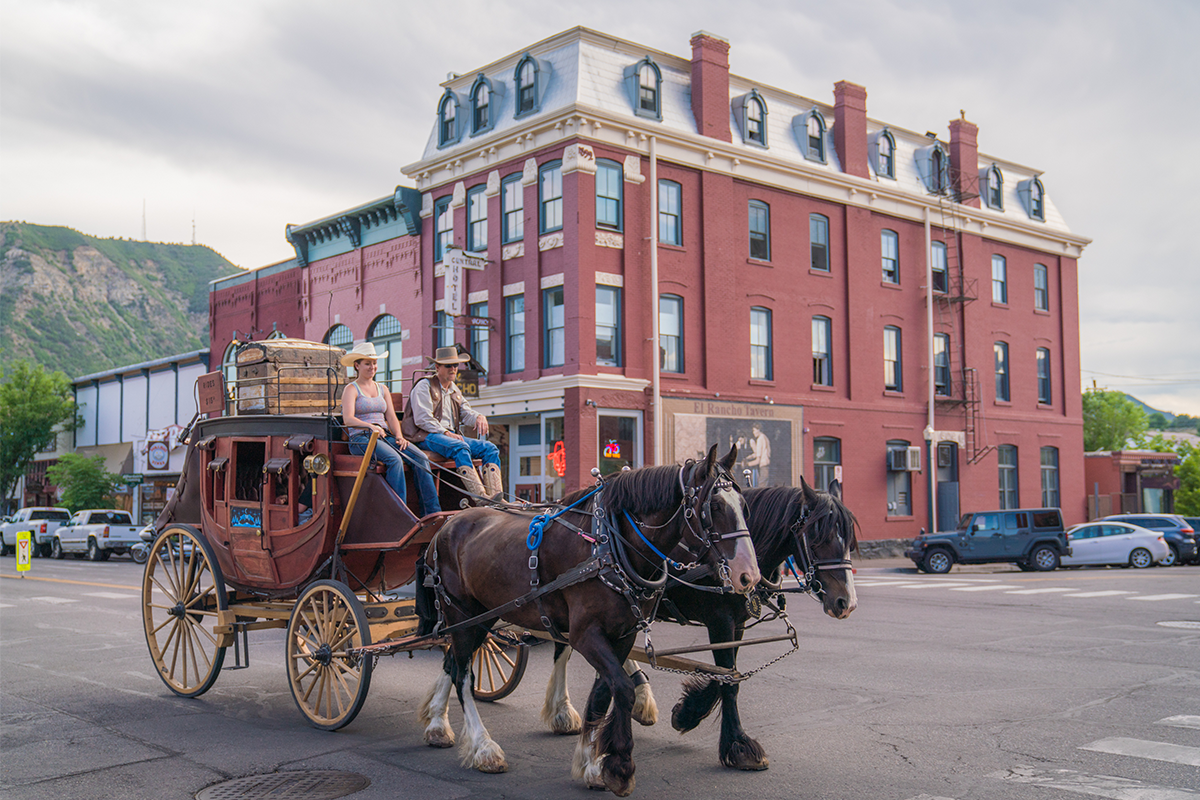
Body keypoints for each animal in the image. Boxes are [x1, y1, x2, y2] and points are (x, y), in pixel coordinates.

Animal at [412, 448, 758, 796]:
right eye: (715, 507)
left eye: (744, 506)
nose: (749, 576)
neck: (607, 546)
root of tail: (445, 526)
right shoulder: (586, 635)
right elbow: (622, 688)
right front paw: (619, 766)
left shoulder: (623, 635)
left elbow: (603, 694)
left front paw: (591, 765)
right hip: (462, 615)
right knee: (463, 677)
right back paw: (483, 748)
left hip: (483, 616)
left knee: (452, 663)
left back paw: (437, 726)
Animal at [540, 479, 859, 772]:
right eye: (816, 536)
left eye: (849, 540)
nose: (847, 603)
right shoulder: (720, 620)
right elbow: (728, 680)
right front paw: (736, 744)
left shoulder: (737, 625)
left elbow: (728, 674)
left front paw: (688, 712)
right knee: (562, 649)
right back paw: (562, 712)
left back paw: (641, 698)